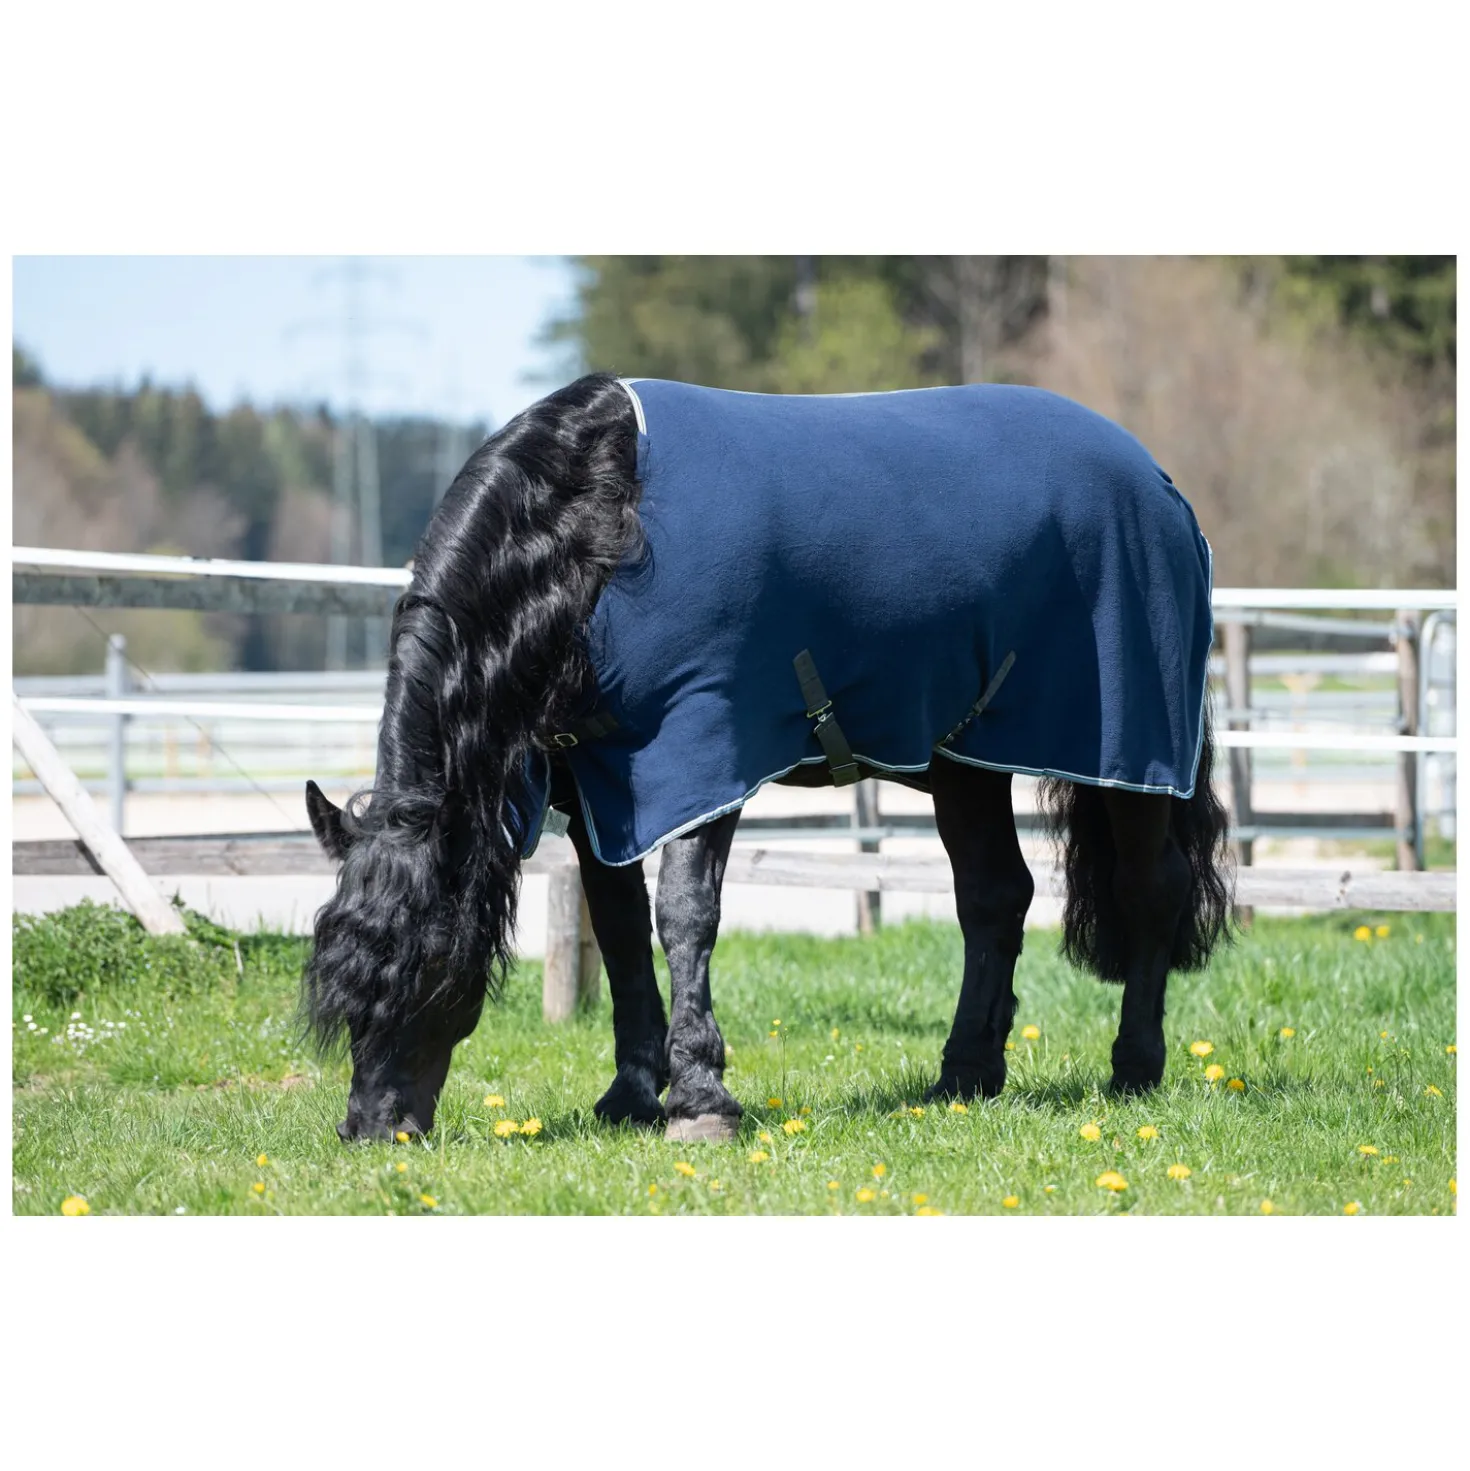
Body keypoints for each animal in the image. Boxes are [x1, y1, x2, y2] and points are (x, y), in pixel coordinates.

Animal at [302, 373, 1232, 1143]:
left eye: (429, 964)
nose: (370, 1129)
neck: (596, 522)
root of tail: (1159, 482)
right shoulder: (599, 786)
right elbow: (619, 927)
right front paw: (631, 1096)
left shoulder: (698, 751)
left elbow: (683, 916)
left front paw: (701, 1100)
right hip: (965, 754)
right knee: (994, 897)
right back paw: (964, 1076)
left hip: (1130, 745)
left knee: (1150, 888)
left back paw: (1133, 1068)